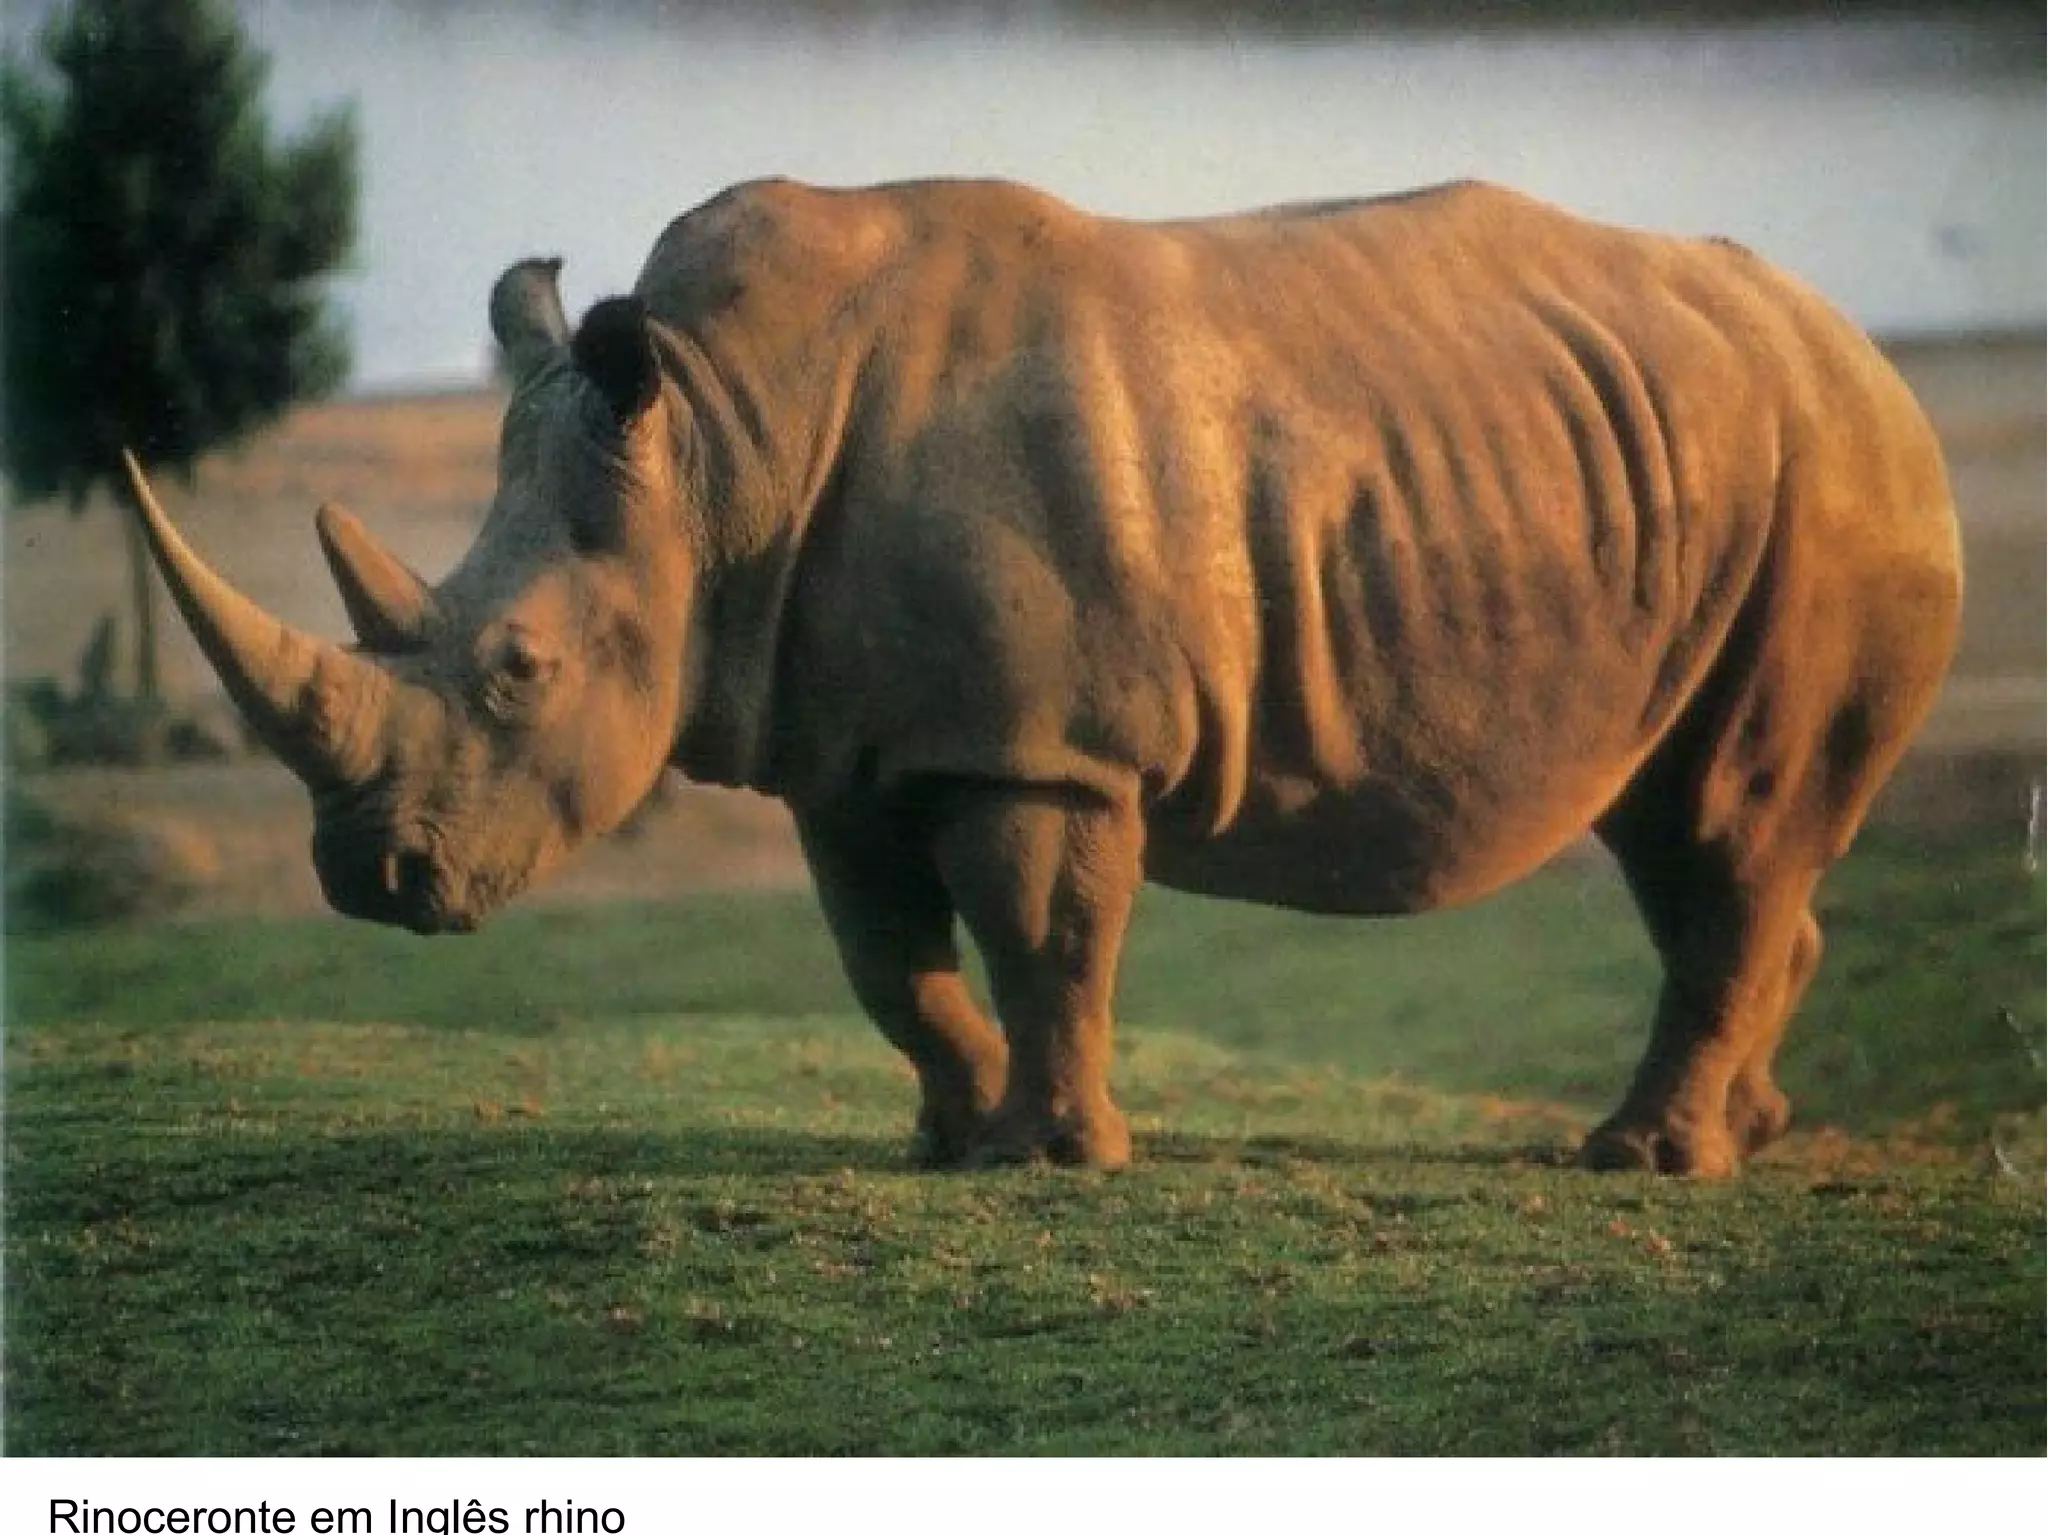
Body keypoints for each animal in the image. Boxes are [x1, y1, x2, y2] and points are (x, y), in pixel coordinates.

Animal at [124, 176, 1961, 1176]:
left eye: (516, 670)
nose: (366, 880)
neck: (717, 437)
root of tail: (1871, 356)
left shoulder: (1034, 744)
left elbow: (1036, 934)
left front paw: (1056, 1158)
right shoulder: (848, 744)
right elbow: (888, 961)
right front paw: (947, 1142)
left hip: (1834, 485)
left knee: (1727, 822)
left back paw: (1644, 1160)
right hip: (1710, 478)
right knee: (1682, 826)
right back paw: (1751, 1131)